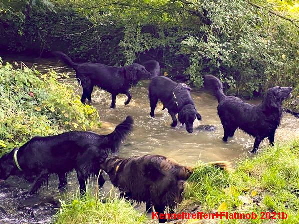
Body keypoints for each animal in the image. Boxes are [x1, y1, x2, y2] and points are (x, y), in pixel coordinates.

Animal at [0, 116, 134, 193]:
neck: (21, 156)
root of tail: (100, 138)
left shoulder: (43, 172)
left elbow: (34, 187)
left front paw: (27, 194)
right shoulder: (61, 171)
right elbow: (62, 184)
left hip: (81, 169)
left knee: (84, 187)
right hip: (95, 167)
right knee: (101, 181)